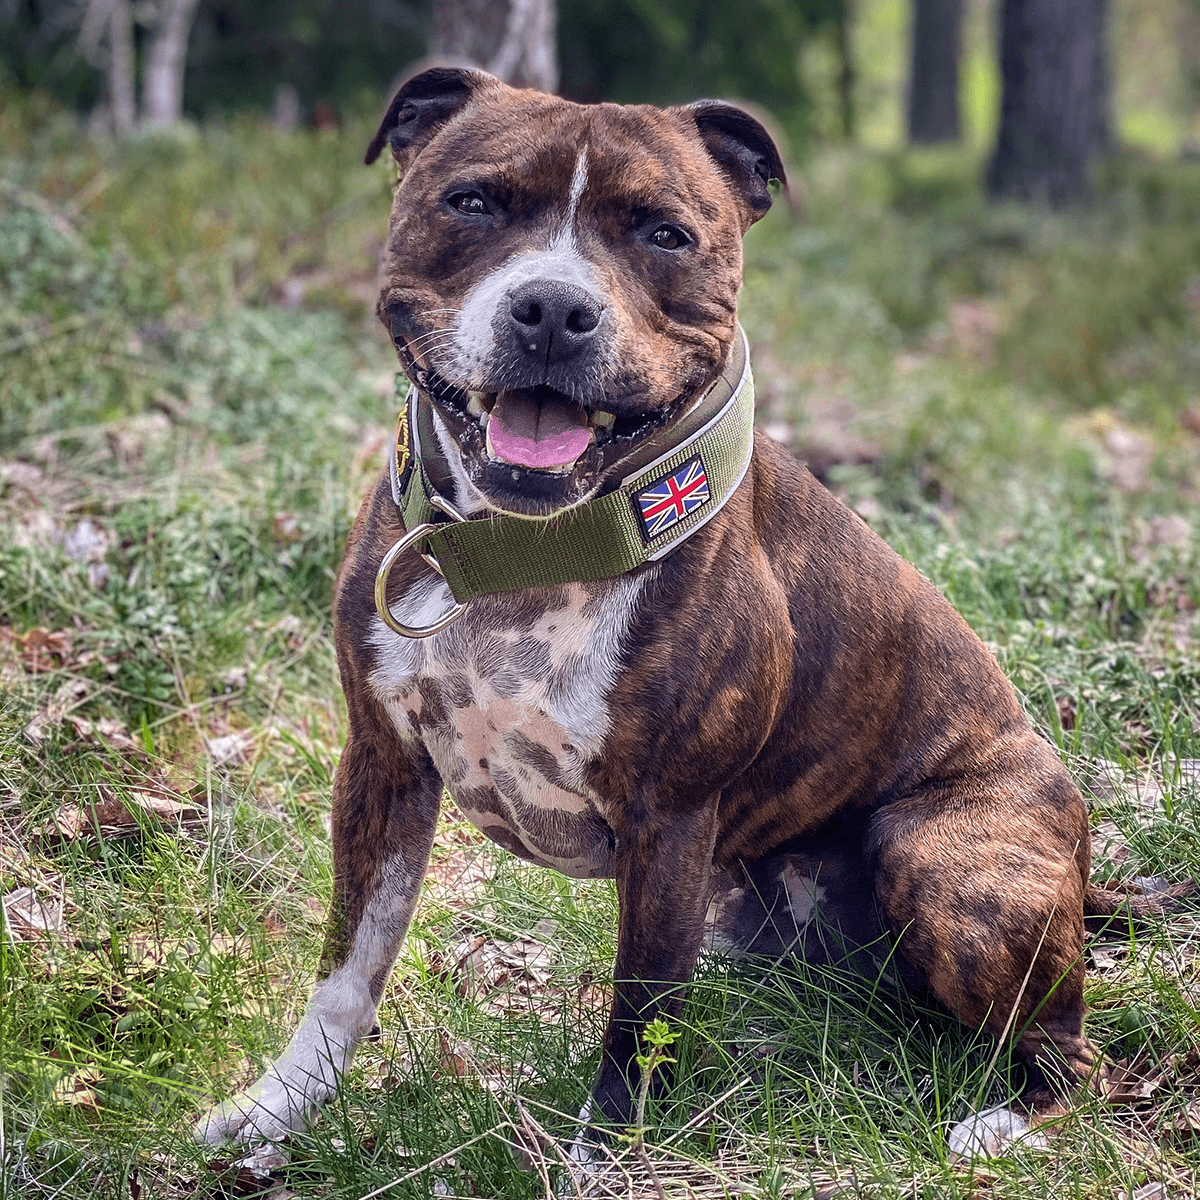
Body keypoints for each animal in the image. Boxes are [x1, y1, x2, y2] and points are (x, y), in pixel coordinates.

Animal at [196, 65, 1171, 1161]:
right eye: (475, 202)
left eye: (665, 233)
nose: (551, 308)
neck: (530, 548)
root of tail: (1081, 857)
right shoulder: (383, 765)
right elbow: (347, 971)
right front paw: (277, 1107)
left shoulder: (666, 824)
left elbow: (639, 1010)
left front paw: (603, 1153)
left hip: (947, 870)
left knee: (1072, 1052)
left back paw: (999, 1122)